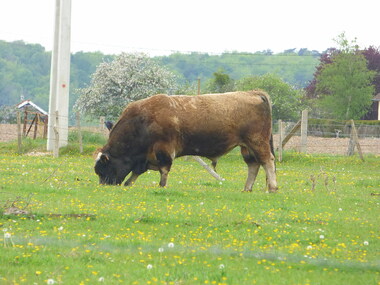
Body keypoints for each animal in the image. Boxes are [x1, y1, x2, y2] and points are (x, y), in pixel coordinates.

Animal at [94, 90, 280, 192]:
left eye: (103, 169)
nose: (104, 186)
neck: (143, 120)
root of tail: (254, 93)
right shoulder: (145, 157)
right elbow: (136, 172)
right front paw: (128, 184)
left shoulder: (163, 150)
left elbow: (164, 170)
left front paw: (162, 186)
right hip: (246, 146)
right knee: (253, 165)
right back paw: (247, 188)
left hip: (257, 142)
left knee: (267, 161)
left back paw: (272, 188)